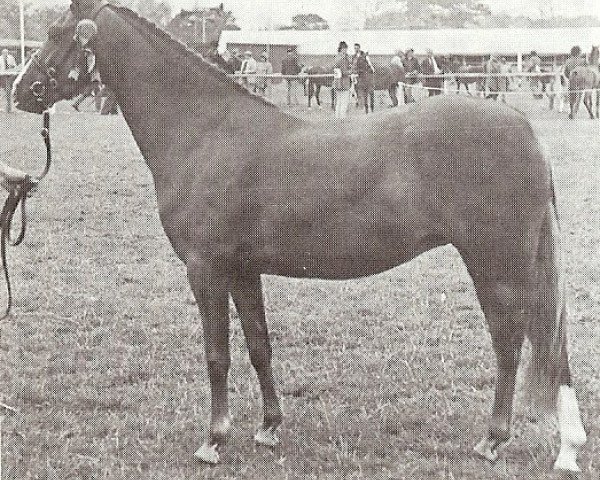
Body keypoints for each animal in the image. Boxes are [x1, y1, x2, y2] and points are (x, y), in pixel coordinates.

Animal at [12, 0, 584, 472]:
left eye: (58, 34)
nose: (19, 90)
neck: (205, 132)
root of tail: (523, 128)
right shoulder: (243, 271)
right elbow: (259, 346)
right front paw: (268, 428)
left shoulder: (205, 270)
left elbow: (216, 353)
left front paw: (213, 441)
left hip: (496, 262)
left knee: (512, 341)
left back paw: (496, 440)